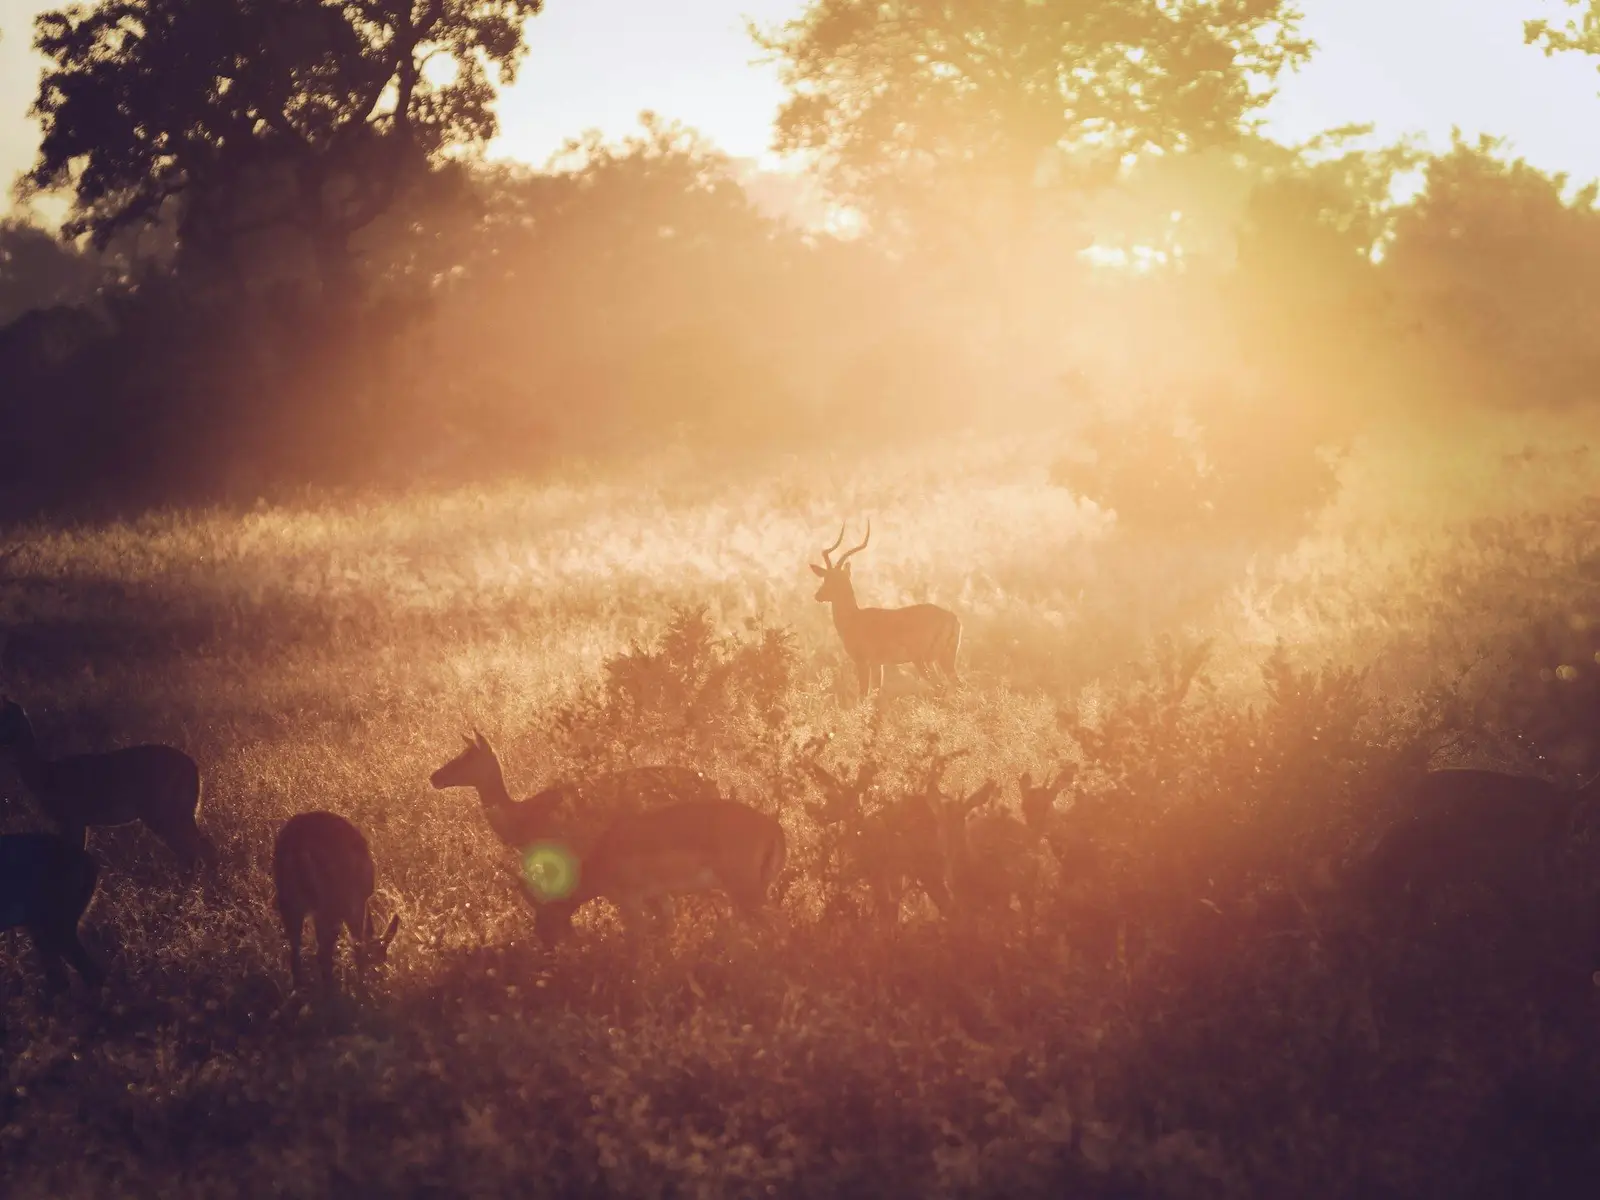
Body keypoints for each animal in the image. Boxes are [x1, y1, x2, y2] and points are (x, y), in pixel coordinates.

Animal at [0, 697, 212, 868]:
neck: (45, 776)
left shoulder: (73, 817)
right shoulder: (78, 820)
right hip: (178, 810)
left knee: (195, 848)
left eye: (5, 718)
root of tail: (195, 770)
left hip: (163, 810)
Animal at [272, 811, 400, 994]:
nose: (381, 981)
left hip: (289, 897)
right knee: (322, 952)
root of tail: (299, 847)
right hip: (329, 903)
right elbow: (356, 944)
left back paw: (300, 987)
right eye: (380, 959)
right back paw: (331, 991)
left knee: (295, 947)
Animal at [810, 521, 961, 699]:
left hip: (924, 660)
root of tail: (951, 617)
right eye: (825, 577)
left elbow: (864, 694)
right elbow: (875, 693)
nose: (818, 595)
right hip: (944, 659)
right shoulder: (878, 664)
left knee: (942, 687)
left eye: (836, 580)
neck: (854, 619)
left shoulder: (863, 662)